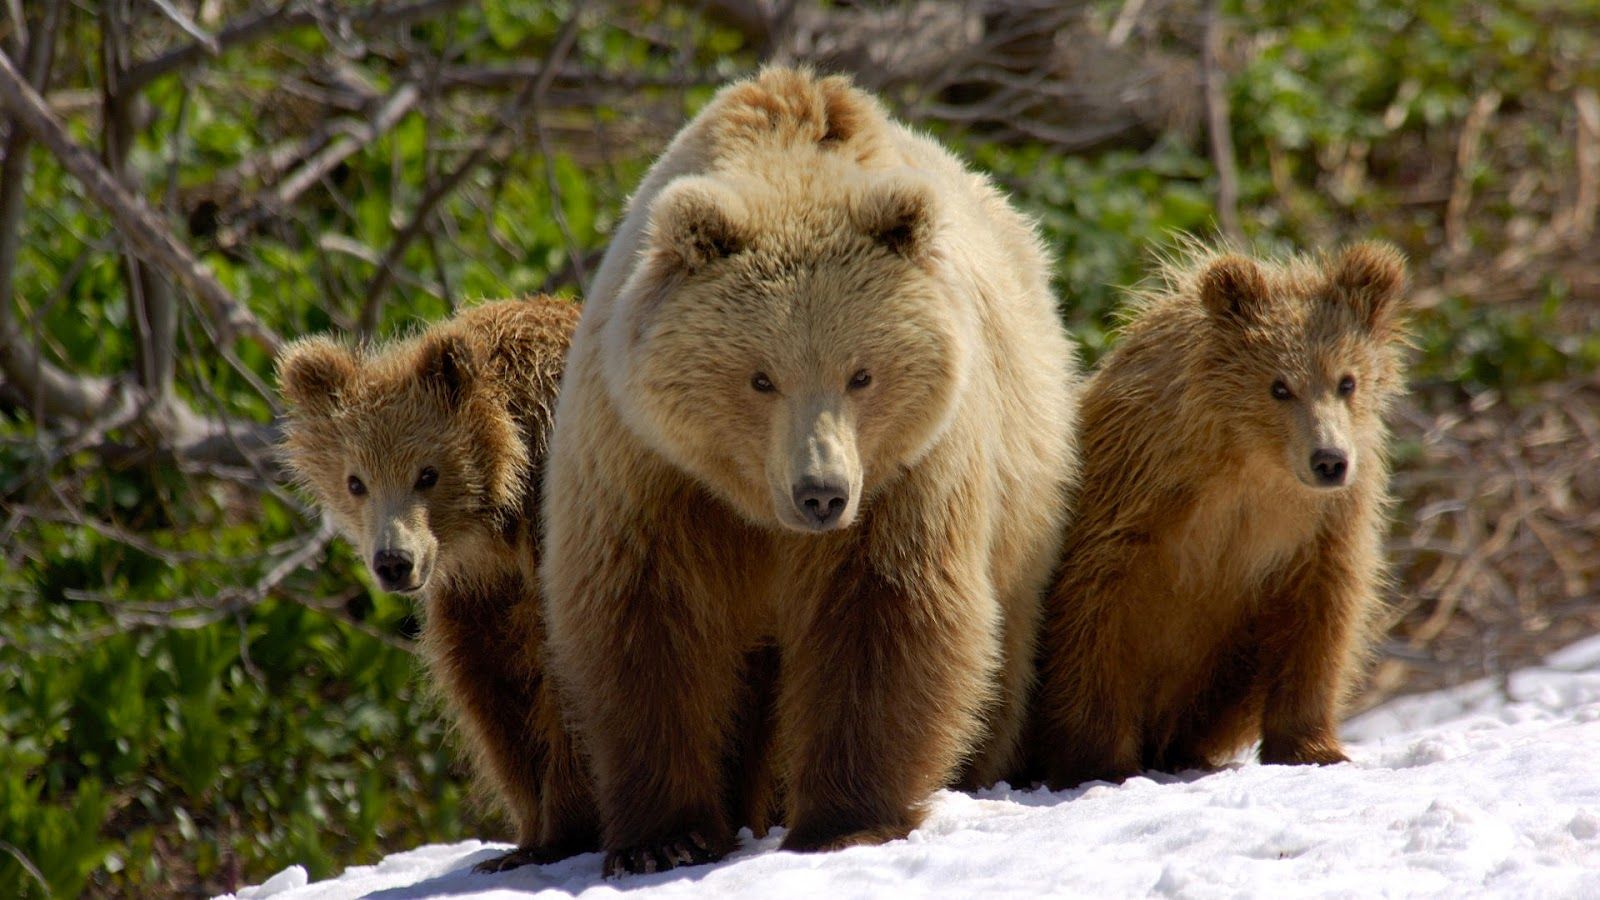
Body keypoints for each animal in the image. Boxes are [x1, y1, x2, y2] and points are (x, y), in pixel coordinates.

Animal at [275, 296, 599, 872]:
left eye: (427, 474)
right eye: (356, 481)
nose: (393, 562)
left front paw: (564, 831)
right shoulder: (479, 594)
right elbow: (492, 691)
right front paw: (525, 836)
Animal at [540, 66, 1081, 876]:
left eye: (862, 373)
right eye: (760, 377)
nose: (820, 493)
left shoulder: (907, 474)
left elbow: (884, 615)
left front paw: (844, 821)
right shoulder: (650, 470)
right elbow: (647, 624)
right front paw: (664, 838)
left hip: (1024, 490)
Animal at [1029, 242, 1409, 789]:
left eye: (1347, 381)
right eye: (1279, 386)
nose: (1329, 460)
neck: (1251, 465)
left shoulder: (1322, 527)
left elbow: (1321, 619)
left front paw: (1313, 748)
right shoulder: (1133, 501)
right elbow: (1093, 617)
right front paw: (1099, 762)